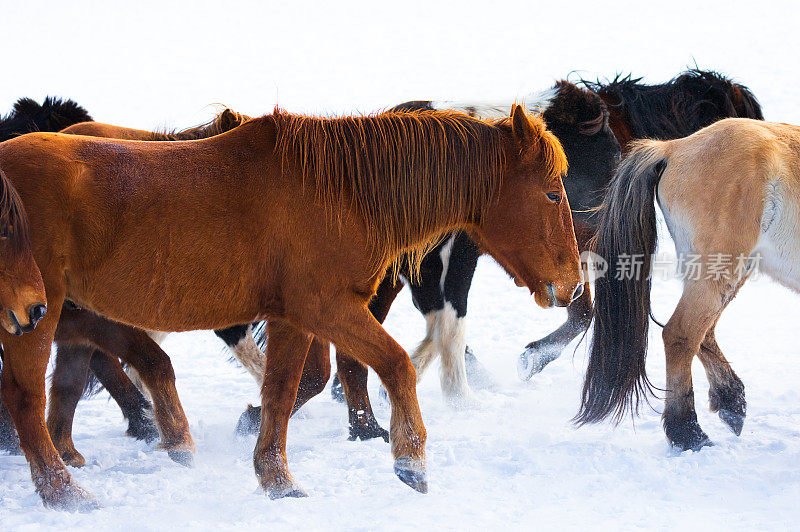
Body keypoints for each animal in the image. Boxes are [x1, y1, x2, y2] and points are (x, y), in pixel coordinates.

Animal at [0, 106, 580, 510]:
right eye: (553, 194)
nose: (572, 285)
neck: (343, 192)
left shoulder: (292, 319)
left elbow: (281, 394)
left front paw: (277, 482)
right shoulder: (327, 308)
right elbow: (396, 366)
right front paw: (410, 462)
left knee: (68, 386)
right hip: (33, 318)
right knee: (29, 401)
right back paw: (66, 493)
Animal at [580, 118, 796, 450]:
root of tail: (673, 147)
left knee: (704, 332)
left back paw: (730, 402)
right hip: (720, 268)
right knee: (681, 334)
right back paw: (687, 431)